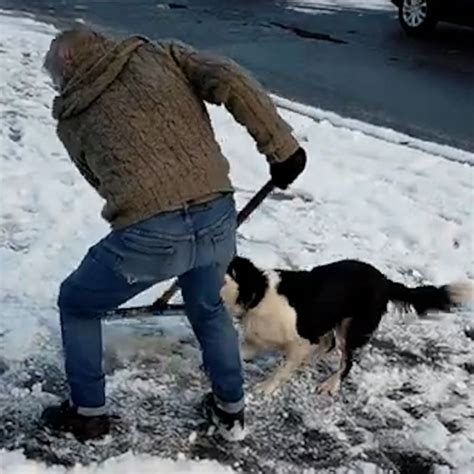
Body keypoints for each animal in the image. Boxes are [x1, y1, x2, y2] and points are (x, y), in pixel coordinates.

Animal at [220, 258, 472, 394]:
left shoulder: (301, 340)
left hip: (350, 328)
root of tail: (384, 280)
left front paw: (266, 387)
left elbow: (282, 369)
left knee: (346, 361)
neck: (258, 295)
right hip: (333, 319)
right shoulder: (256, 340)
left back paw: (330, 384)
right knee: (328, 344)